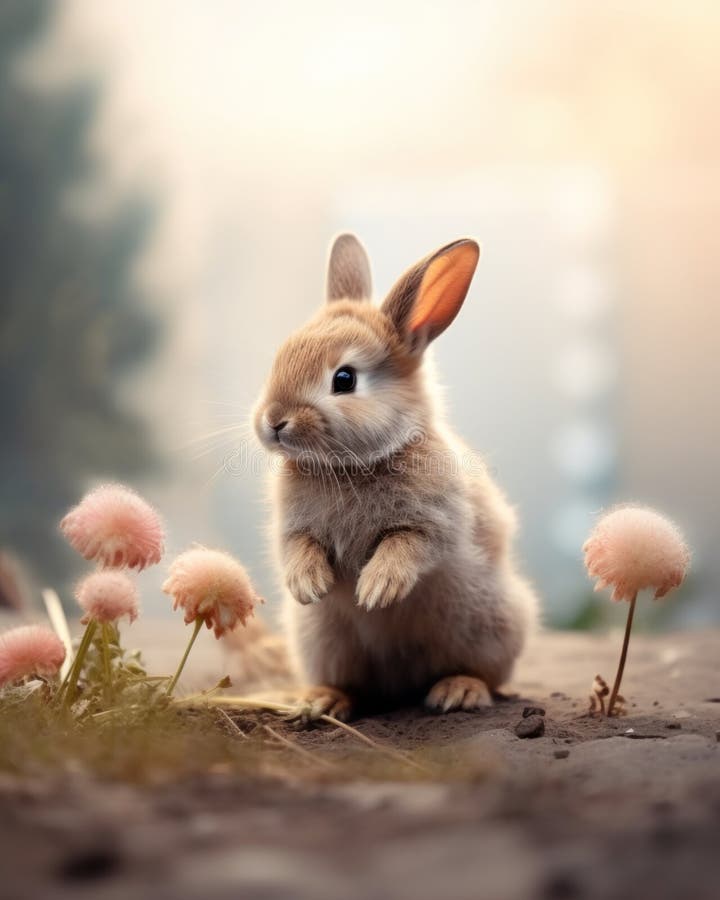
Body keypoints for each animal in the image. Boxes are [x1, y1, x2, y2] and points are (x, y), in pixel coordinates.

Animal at [253, 233, 539, 720]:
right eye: (280, 357)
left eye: (344, 379)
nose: (273, 421)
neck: (352, 465)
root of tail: (398, 684)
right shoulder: (293, 529)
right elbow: (297, 548)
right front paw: (309, 586)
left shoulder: (434, 523)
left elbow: (407, 545)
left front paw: (376, 590)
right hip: (323, 643)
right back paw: (321, 700)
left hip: (491, 626)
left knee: (482, 675)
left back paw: (458, 691)